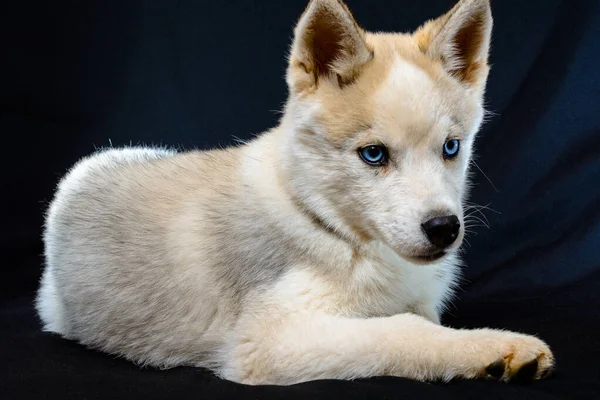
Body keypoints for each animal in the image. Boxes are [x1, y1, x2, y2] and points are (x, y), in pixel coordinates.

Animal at [37, 0, 552, 388]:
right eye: (373, 154)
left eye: (451, 147)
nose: (444, 229)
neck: (326, 223)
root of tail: (83, 171)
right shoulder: (266, 341)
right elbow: (401, 331)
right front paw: (491, 347)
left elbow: (419, 319)